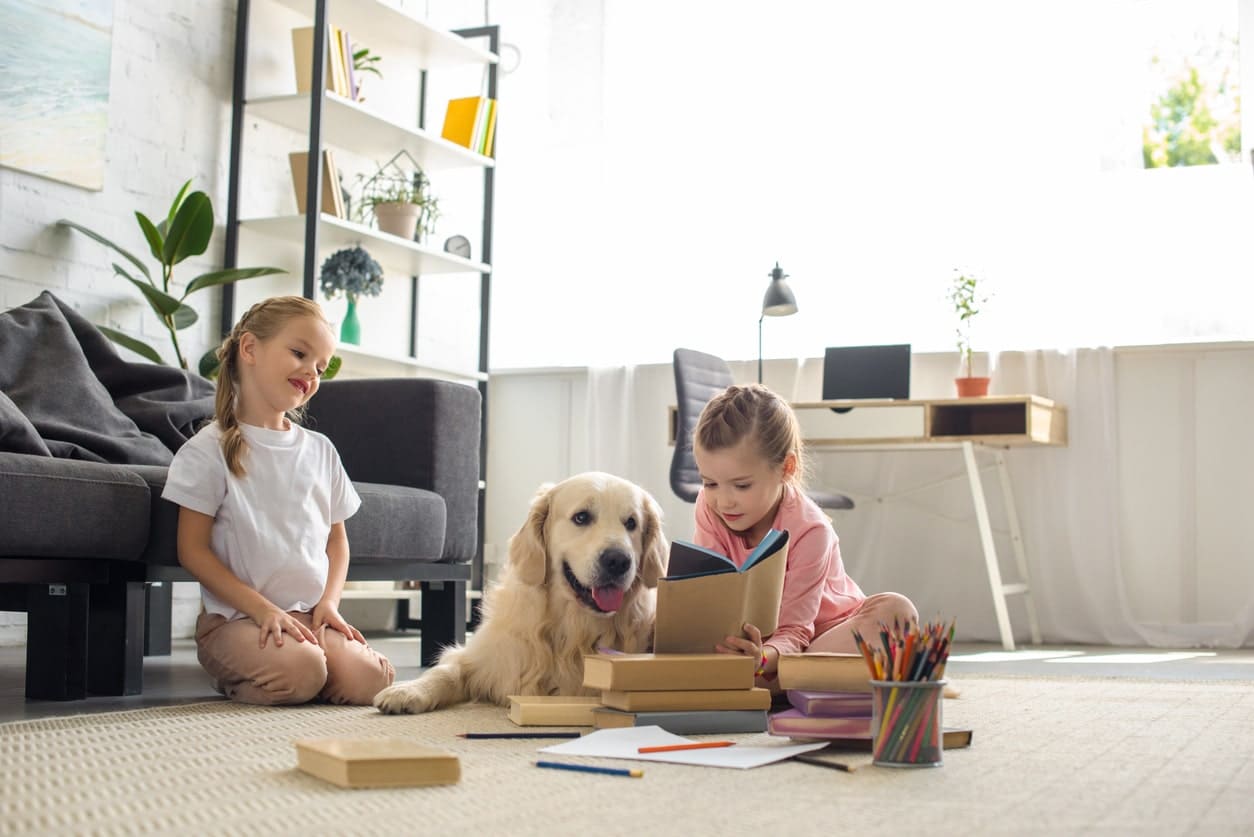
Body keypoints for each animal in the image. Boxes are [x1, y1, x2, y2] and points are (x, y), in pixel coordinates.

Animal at [371, 471, 667, 712]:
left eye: (631, 523)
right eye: (581, 517)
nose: (618, 561)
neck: (572, 630)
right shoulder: (485, 658)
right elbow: (445, 671)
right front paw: (407, 690)